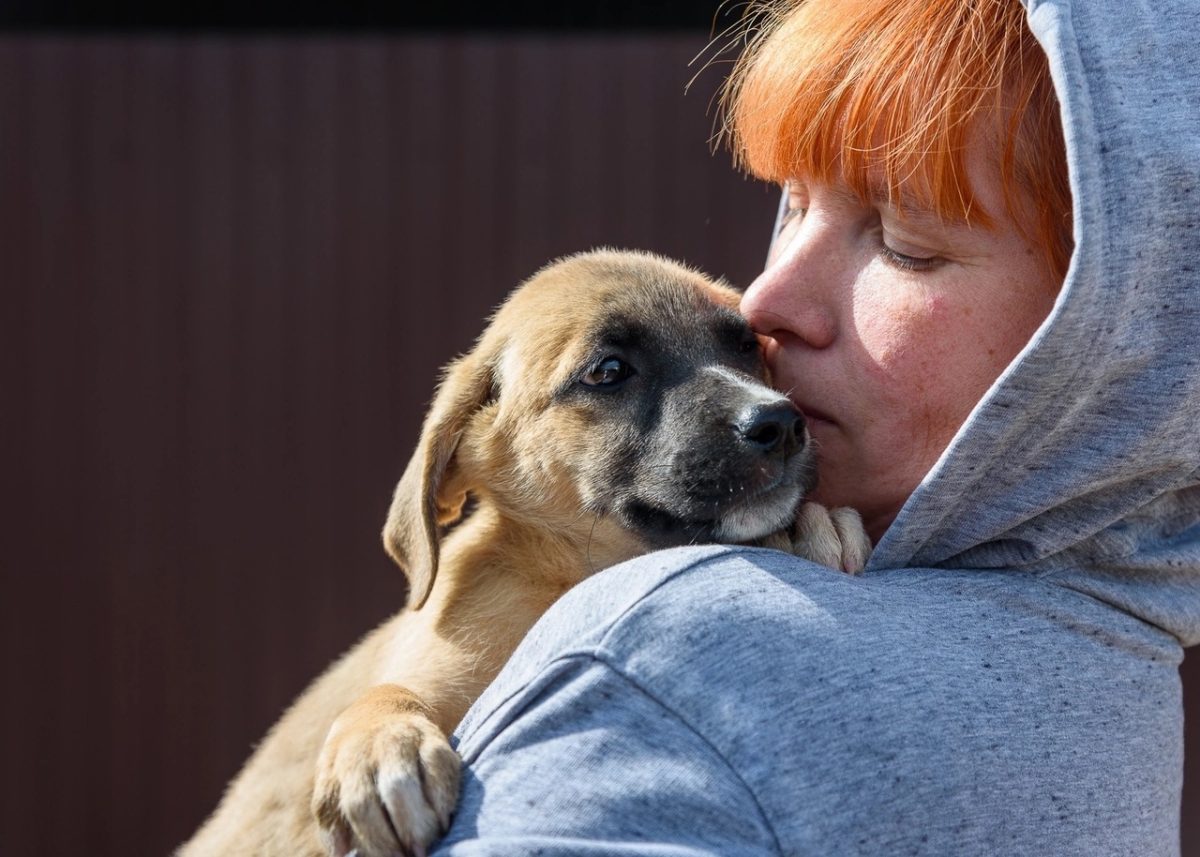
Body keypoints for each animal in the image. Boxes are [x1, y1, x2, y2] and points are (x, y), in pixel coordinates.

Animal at [180, 247, 873, 854]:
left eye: (747, 345)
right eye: (608, 371)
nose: (778, 423)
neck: (567, 576)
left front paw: (809, 527)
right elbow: (385, 692)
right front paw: (378, 754)